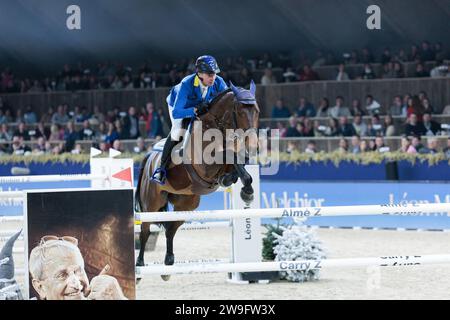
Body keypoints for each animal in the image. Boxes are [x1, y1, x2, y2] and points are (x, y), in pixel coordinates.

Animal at [135, 80, 258, 280]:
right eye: (240, 111)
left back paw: (168, 265)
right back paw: (139, 267)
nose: (253, 145)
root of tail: (149, 157)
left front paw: (239, 186)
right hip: (151, 203)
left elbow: (238, 165)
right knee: (145, 231)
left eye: (257, 111)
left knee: (171, 229)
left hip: (187, 204)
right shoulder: (205, 166)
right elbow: (228, 155)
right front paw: (246, 192)